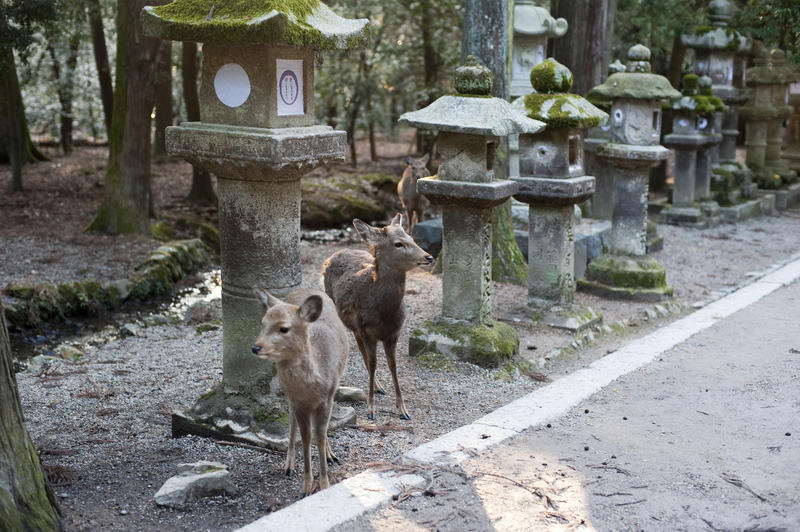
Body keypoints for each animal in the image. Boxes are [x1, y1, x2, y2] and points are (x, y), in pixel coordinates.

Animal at [252, 288, 348, 496]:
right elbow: (305, 437)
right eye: (262, 323)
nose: (255, 347)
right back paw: (288, 464)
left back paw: (330, 454)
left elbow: (319, 435)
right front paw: (305, 486)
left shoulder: (326, 398)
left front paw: (324, 484)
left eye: (284, 328)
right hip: (289, 395)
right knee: (292, 420)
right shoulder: (298, 401)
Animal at [320, 214, 432, 422]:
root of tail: (335, 253)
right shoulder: (368, 331)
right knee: (357, 346)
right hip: (348, 318)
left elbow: (393, 366)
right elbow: (373, 364)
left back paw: (380, 387)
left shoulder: (394, 334)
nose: (428, 257)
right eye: (398, 243)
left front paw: (403, 410)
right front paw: (370, 410)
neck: (385, 313)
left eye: (412, 238)